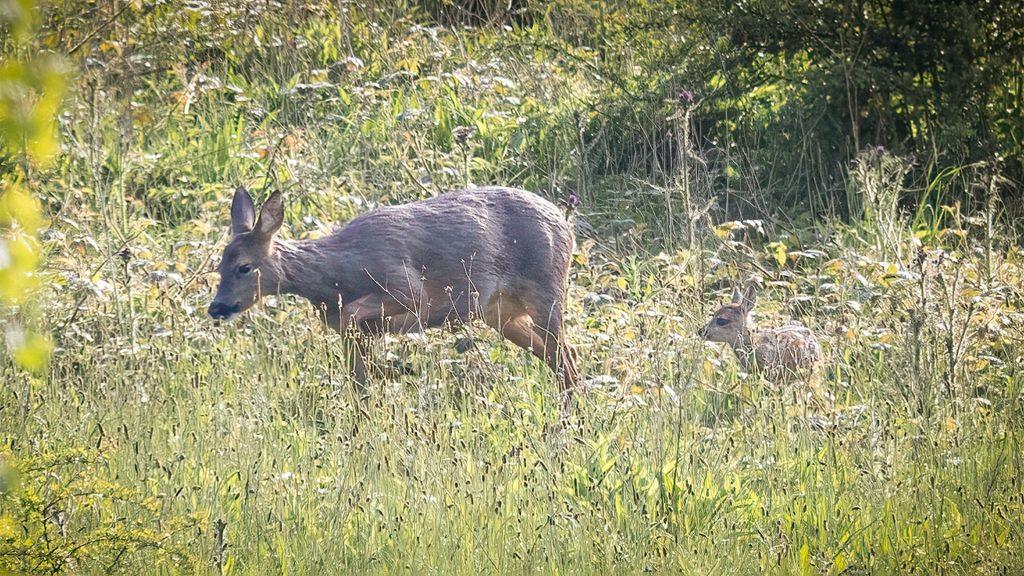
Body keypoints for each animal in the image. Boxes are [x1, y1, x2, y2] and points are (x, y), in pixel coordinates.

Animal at [208, 186, 580, 416]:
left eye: (244, 266)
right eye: (218, 265)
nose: (216, 307)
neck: (337, 277)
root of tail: (565, 224)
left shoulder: (408, 288)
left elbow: (357, 322)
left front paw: (399, 368)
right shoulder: (356, 331)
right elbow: (357, 377)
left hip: (546, 291)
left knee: (567, 362)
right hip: (501, 313)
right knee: (563, 357)